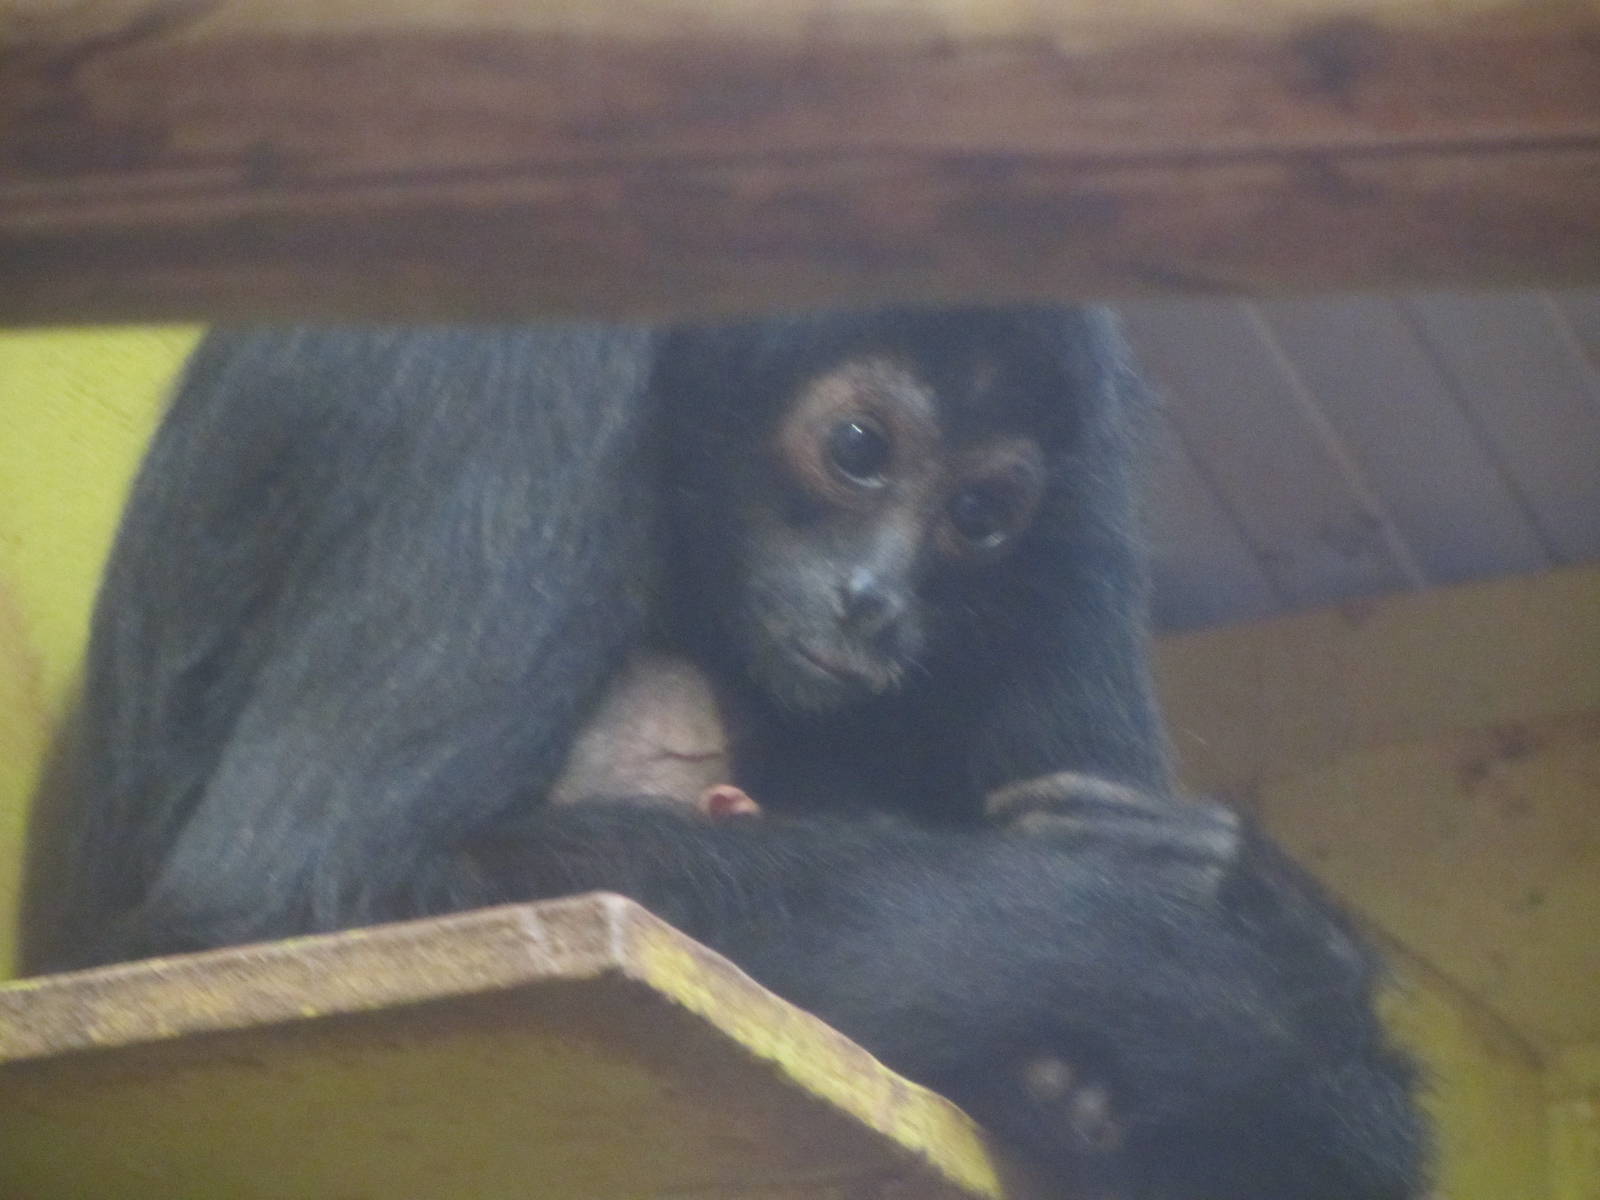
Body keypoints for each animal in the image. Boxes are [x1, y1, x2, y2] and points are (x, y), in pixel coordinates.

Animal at [23, 312, 1426, 1199]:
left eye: (979, 514)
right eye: (858, 448)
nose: (876, 602)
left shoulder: (1082, 513)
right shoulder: (520, 364)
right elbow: (294, 893)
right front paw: (1228, 953)